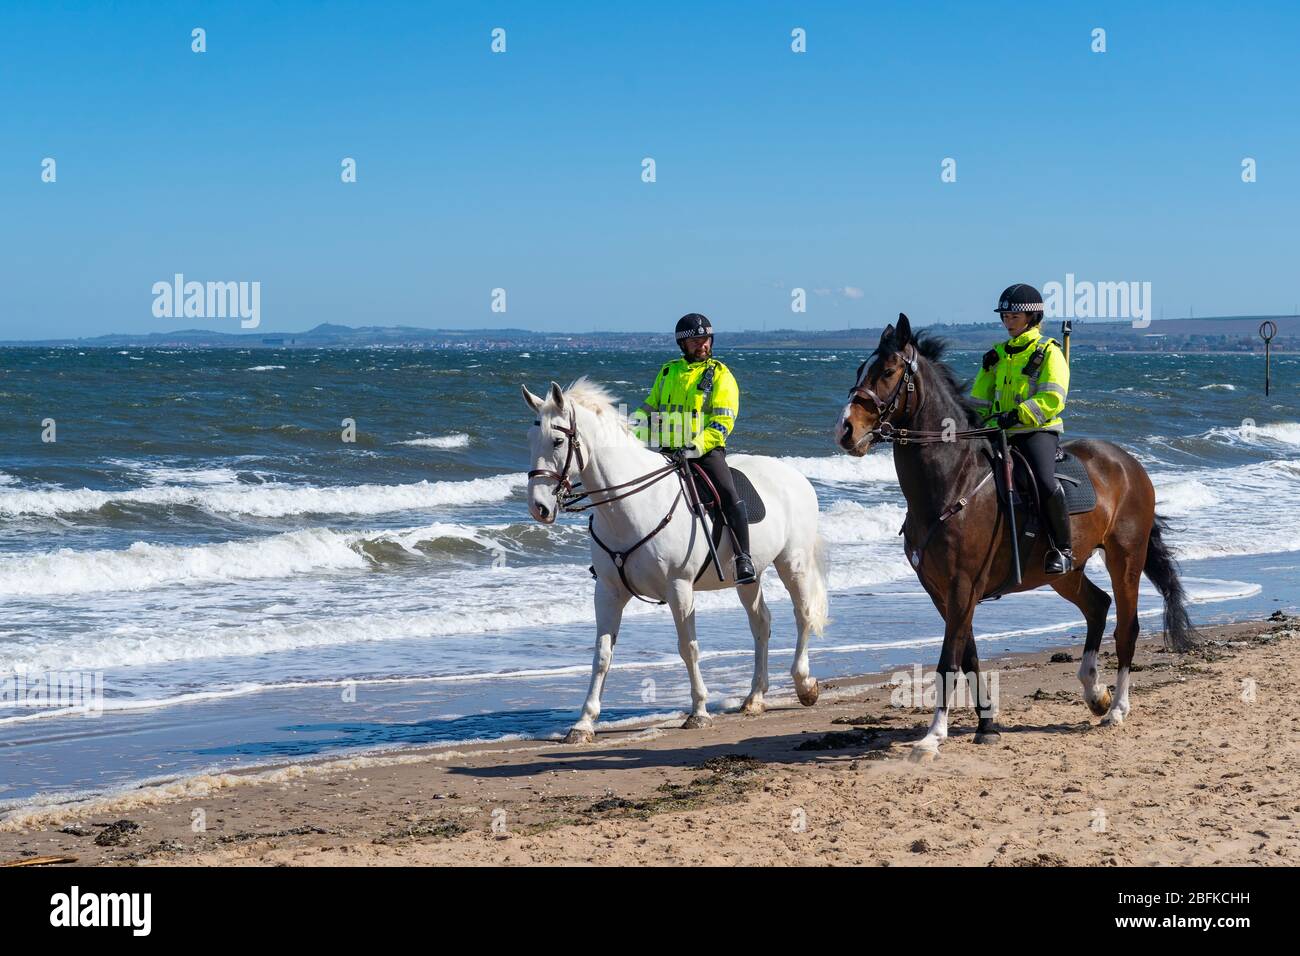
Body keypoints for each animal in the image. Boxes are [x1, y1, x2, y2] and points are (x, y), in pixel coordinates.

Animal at [522, 377, 826, 743]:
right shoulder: (608, 591)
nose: (539, 507)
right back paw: (754, 697)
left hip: (793, 563)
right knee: (761, 623)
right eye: (530, 439)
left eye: (556, 440)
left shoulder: (679, 588)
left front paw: (699, 712)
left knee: (803, 614)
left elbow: (688, 647)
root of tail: (795, 475)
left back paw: (805, 685)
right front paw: (584, 723)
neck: (630, 505)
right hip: (748, 578)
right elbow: (602, 655)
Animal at [837, 317, 1190, 759]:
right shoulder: (942, 591)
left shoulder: (962, 585)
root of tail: (1129, 463)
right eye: (858, 371)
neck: (953, 482)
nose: (846, 429)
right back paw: (1095, 693)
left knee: (1127, 626)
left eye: (887, 372)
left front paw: (933, 737)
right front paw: (986, 725)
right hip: (1064, 572)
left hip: (1125, 558)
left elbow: (947, 661)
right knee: (1097, 606)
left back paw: (1117, 709)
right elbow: (968, 656)